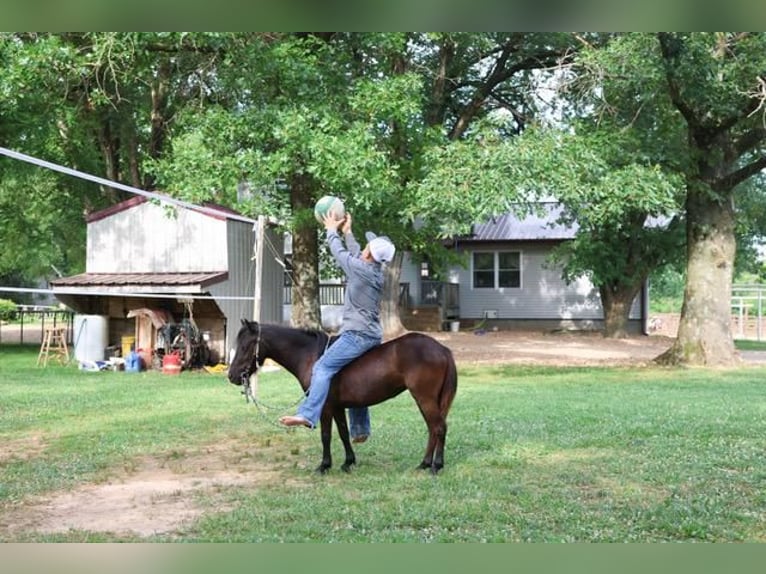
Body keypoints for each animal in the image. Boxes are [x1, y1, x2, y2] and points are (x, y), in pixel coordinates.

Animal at [226, 320, 456, 476]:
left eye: (245, 346)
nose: (232, 376)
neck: (310, 355)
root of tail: (443, 349)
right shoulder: (338, 407)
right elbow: (344, 433)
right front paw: (348, 462)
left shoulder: (326, 407)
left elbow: (326, 436)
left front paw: (324, 466)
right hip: (425, 399)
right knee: (432, 428)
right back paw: (424, 463)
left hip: (424, 397)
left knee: (439, 428)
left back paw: (436, 465)